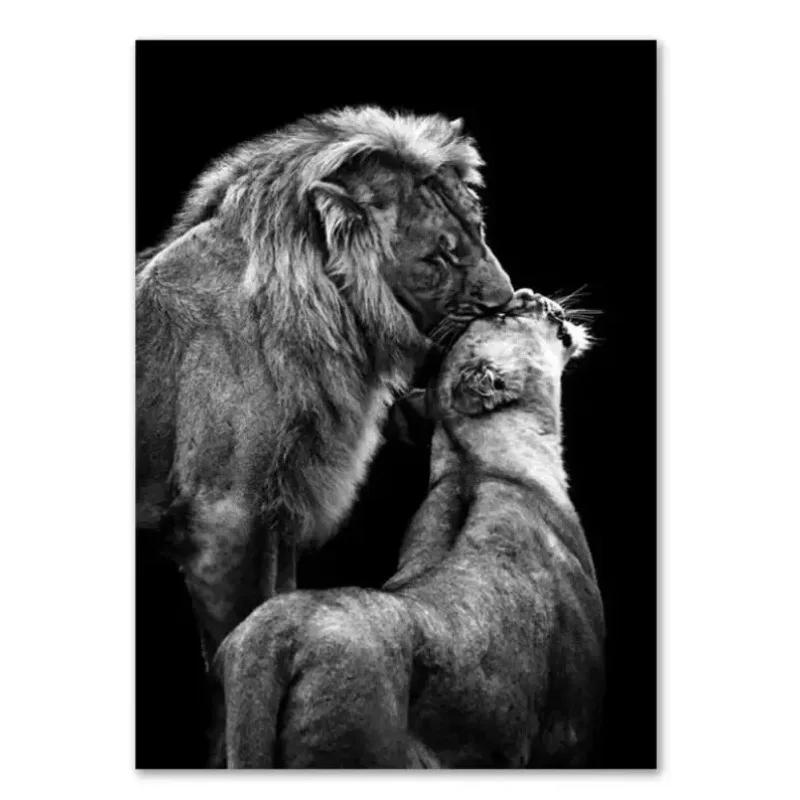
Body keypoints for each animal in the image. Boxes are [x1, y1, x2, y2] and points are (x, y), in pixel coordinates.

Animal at [136, 106, 515, 660]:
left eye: (478, 228)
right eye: (436, 258)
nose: (504, 301)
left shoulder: (278, 512)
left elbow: (277, 600)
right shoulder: (223, 517)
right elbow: (236, 635)